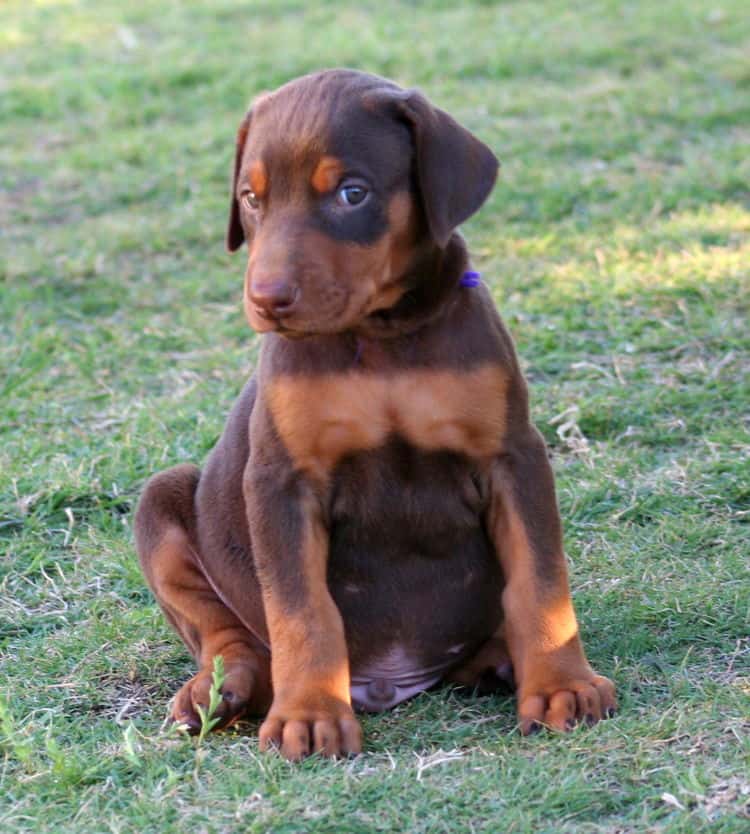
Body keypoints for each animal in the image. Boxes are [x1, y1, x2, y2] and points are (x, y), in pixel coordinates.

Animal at [135, 70, 616, 760]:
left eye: (352, 193)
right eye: (251, 198)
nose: (266, 298)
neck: (378, 334)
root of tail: (396, 683)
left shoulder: (513, 457)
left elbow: (541, 582)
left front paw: (560, 685)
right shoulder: (282, 480)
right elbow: (302, 610)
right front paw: (309, 714)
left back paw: (501, 660)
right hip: (162, 502)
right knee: (230, 637)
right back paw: (220, 690)